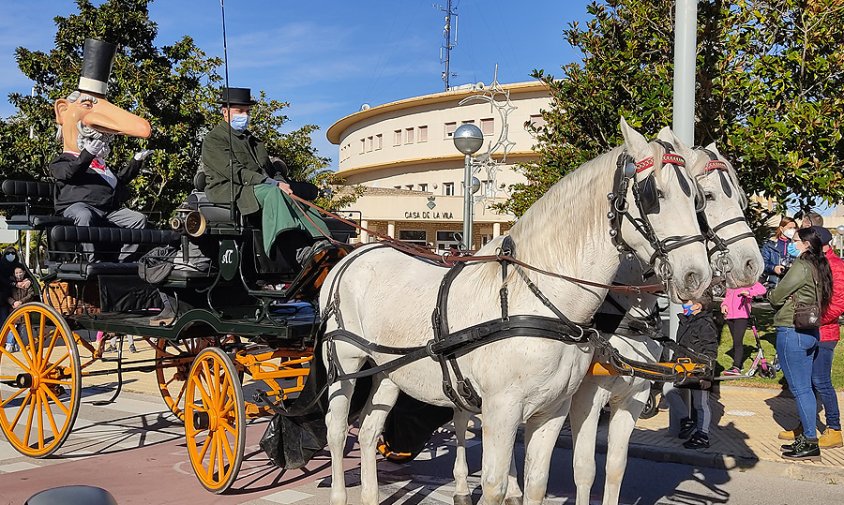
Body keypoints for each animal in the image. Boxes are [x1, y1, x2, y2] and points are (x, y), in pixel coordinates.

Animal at [322, 119, 712, 504]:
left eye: (696, 198)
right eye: (653, 195)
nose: (698, 276)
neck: (538, 300)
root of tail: (356, 253)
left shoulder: (553, 410)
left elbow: (536, 483)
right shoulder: (502, 410)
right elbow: (495, 485)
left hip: (388, 373)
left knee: (369, 430)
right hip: (345, 365)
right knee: (337, 430)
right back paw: (339, 491)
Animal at [568, 130, 764, 504]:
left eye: (741, 200)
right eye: (707, 198)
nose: (752, 265)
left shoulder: (634, 392)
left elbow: (615, 467)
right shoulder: (584, 398)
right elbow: (583, 469)